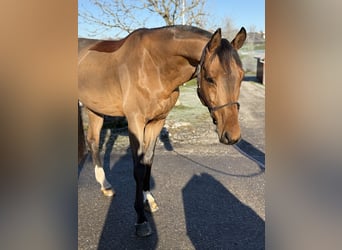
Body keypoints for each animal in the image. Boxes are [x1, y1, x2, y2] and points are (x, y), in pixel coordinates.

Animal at [79, 24, 247, 236]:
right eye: (210, 78)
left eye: (241, 76)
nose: (232, 136)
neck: (152, 66)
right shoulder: (135, 122)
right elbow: (138, 168)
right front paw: (141, 219)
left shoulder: (157, 121)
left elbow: (148, 160)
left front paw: (148, 200)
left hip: (94, 108)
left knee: (93, 142)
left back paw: (106, 185)